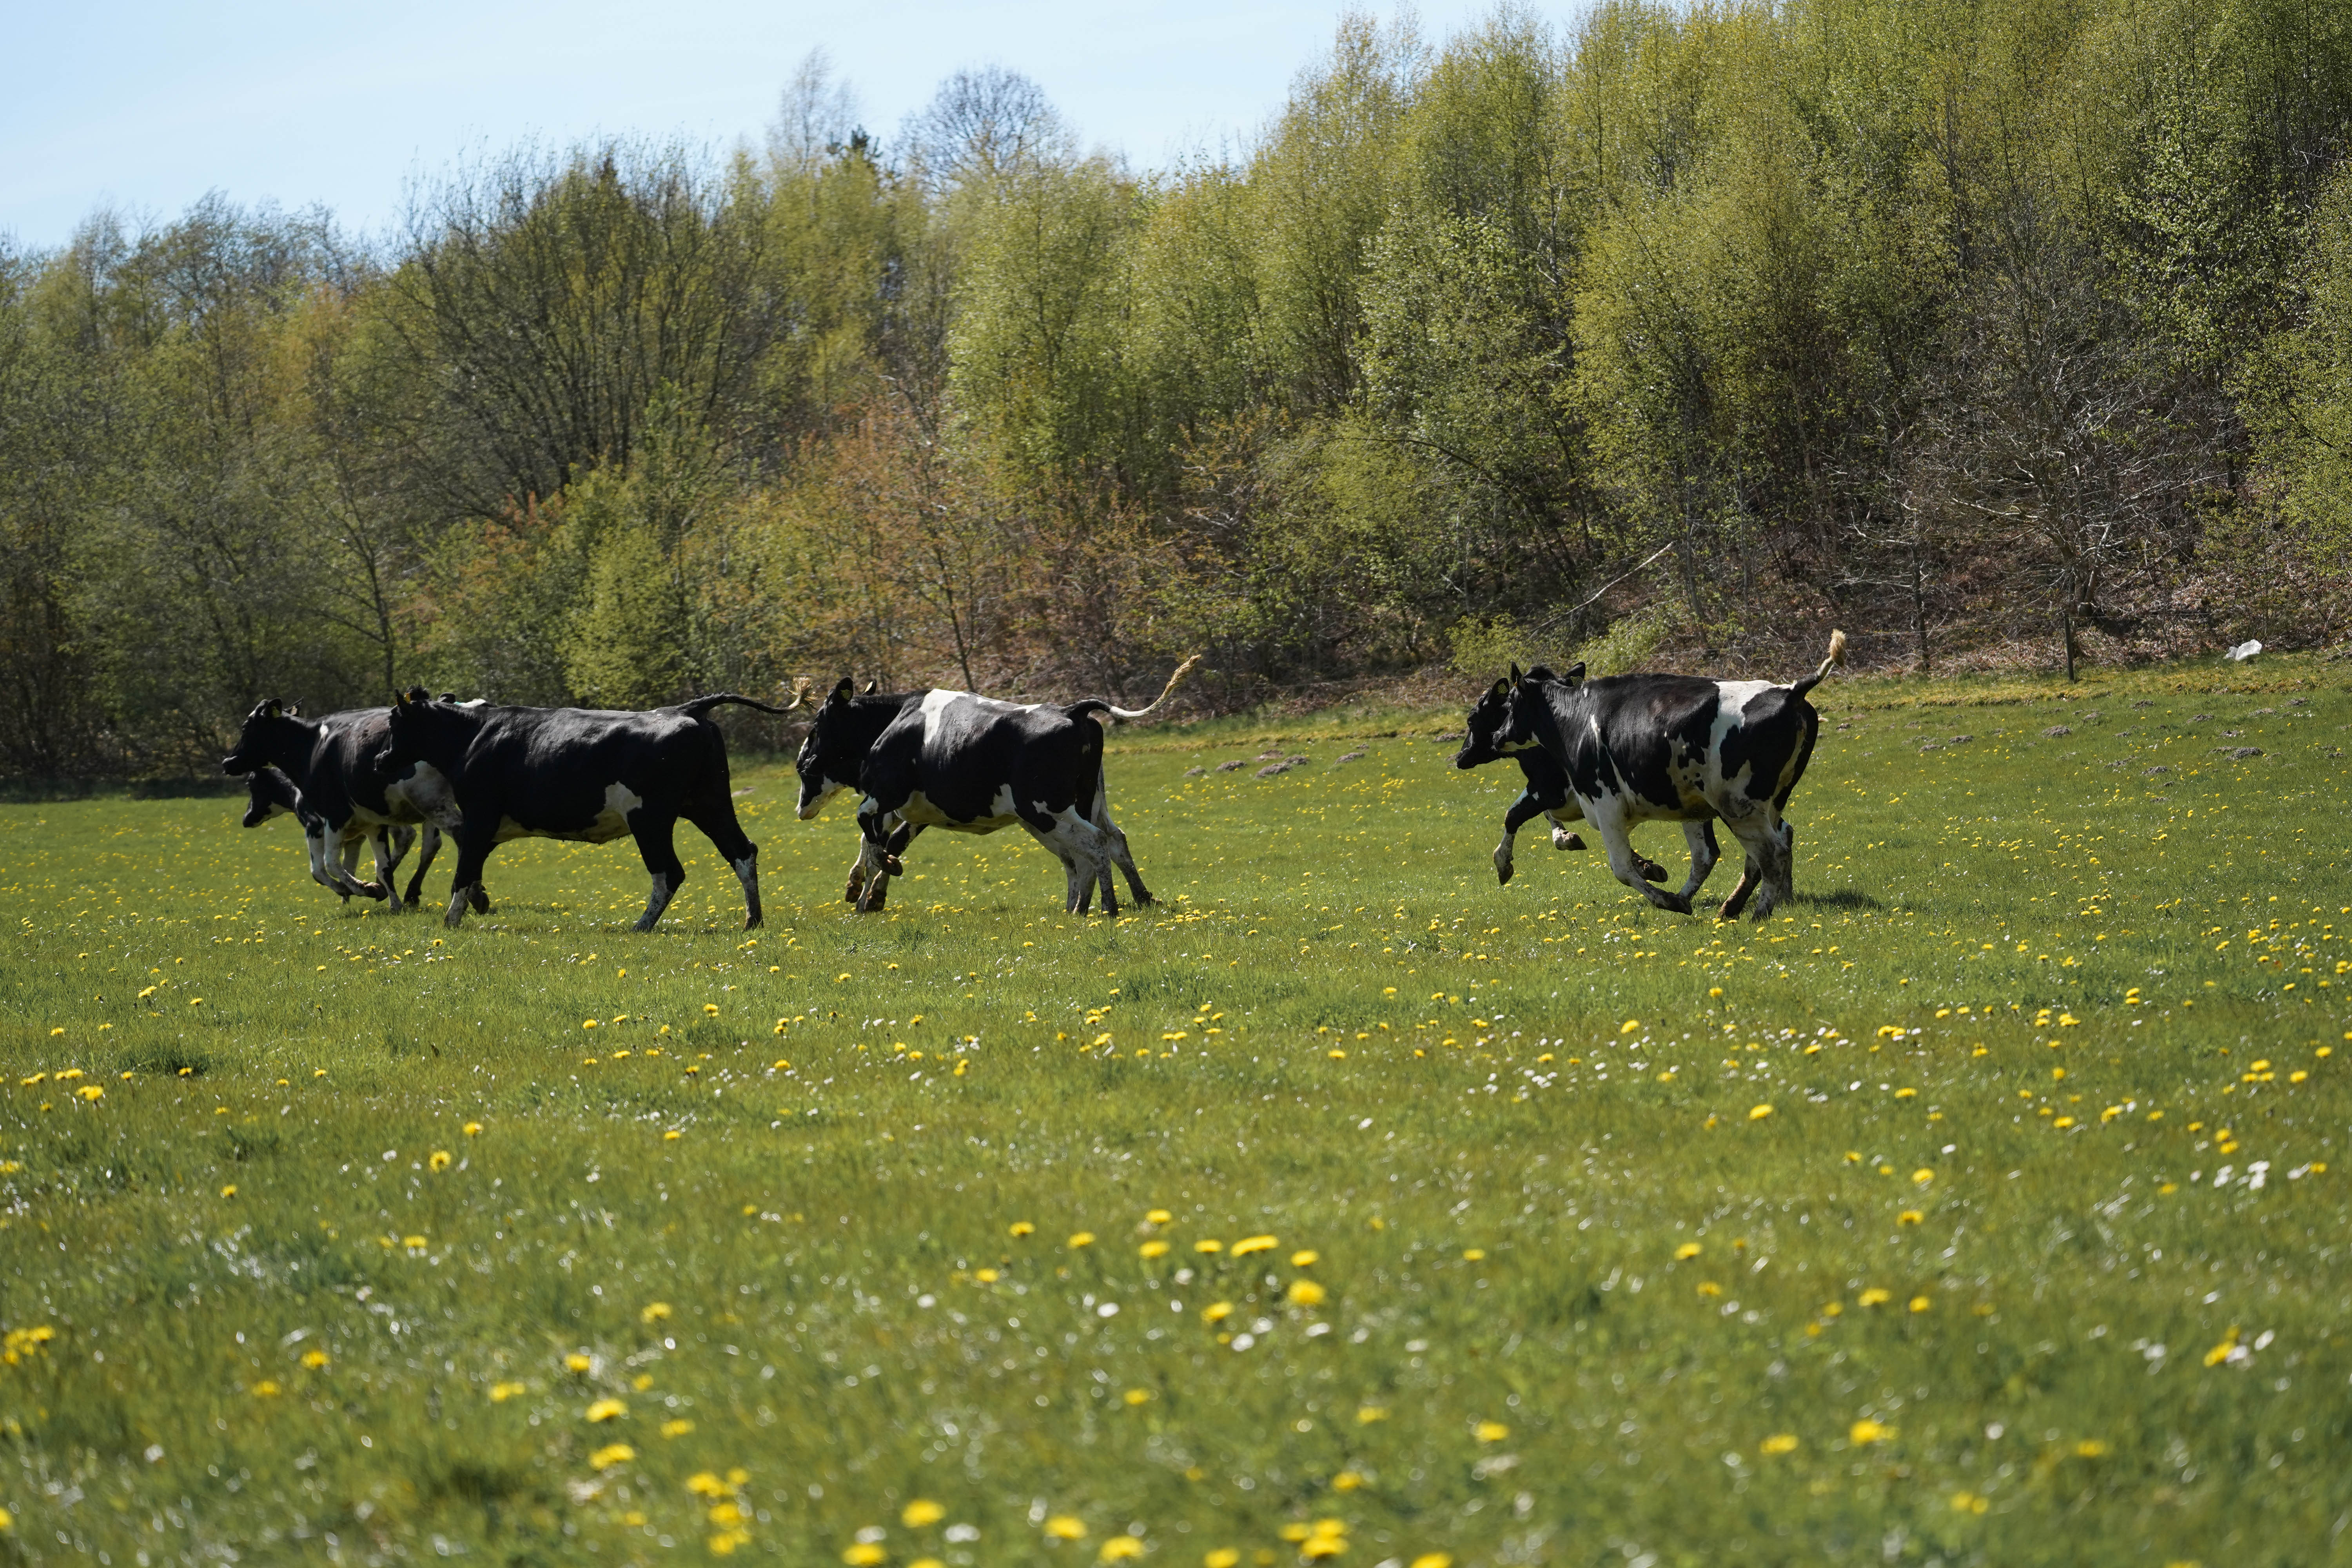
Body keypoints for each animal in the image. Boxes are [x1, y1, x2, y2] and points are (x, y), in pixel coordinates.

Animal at [381, 691, 795, 931]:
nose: (380, 759)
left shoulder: (479, 816)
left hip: (650, 818)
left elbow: (464, 871)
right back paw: (752, 921)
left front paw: (451, 922)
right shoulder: (485, 827)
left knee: (669, 872)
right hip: (710, 804)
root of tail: (684, 709)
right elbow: (473, 870)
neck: (473, 736)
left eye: (393, 723)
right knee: (742, 852)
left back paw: (640, 926)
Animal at [795, 653, 1204, 921]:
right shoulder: (907, 809)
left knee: (1093, 845)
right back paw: (1117, 902)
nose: (803, 765)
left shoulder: (885, 796)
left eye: (818, 725)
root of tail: (1071, 710)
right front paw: (862, 893)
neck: (893, 720)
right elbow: (874, 843)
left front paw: (875, 887)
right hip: (1082, 804)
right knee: (1107, 842)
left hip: (1046, 811)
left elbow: (872, 836)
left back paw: (1107, 907)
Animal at [1496, 630, 1844, 921]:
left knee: (1771, 854)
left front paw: (1669, 900)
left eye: (1509, 703)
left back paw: (1758, 915)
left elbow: (1622, 868)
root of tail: (1791, 690)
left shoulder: (1605, 804)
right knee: (1757, 854)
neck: (1576, 719)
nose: (1498, 737)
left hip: (1737, 804)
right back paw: (1731, 907)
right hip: (1768, 801)